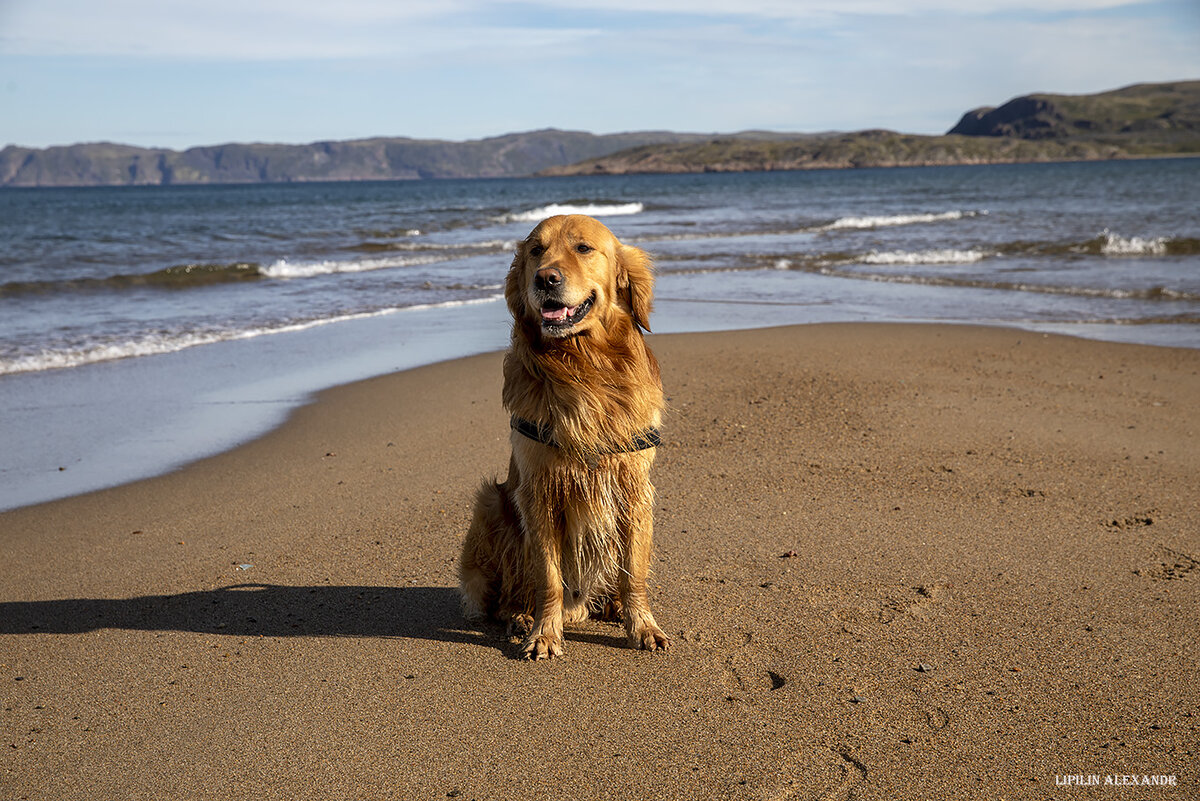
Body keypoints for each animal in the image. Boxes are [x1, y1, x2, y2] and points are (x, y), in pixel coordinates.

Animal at [458, 215, 672, 661]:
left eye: (584, 248)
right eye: (536, 250)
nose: (545, 278)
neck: (583, 365)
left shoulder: (634, 489)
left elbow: (634, 573)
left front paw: (643, 626)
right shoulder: (539, 492)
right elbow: (548, 577)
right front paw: (543, 633)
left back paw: (610, 605)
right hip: (491, 503)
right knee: (506, 595)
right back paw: (520, 616)